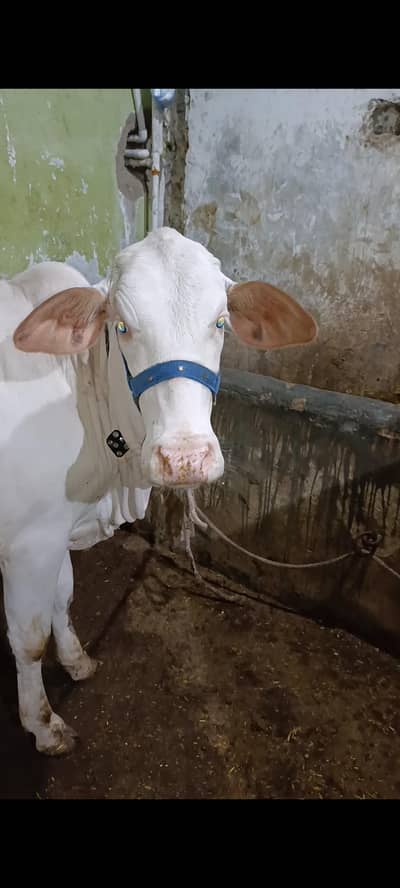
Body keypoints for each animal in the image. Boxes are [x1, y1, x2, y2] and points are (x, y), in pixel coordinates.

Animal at [0, 226, 317, 755]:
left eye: (221, 322)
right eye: (122, 327)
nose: (185, 457)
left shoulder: (58, 526)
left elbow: (62, 598)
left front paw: (78, 661)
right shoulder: (28, 542)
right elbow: (29, 638)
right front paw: (44, 725)